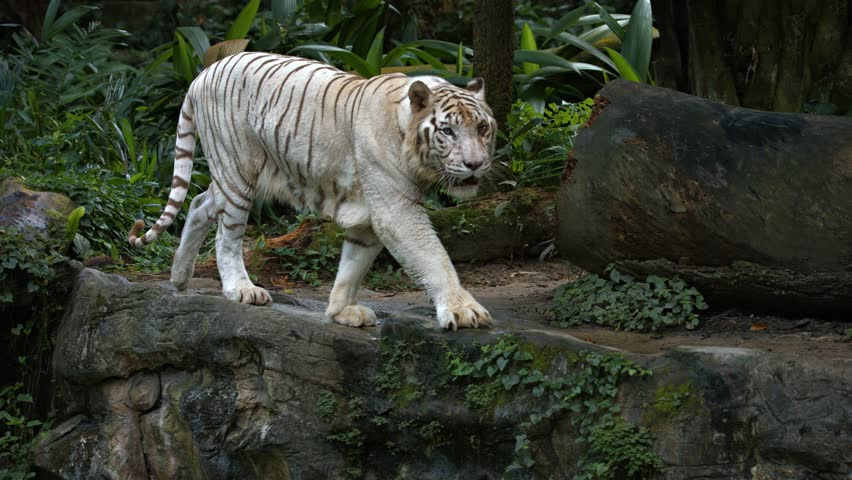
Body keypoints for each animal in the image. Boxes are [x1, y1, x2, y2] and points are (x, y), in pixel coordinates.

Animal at [129, 51, 496, 330]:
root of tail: (201, 74)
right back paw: (241, 289)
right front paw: (463, 310)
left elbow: (353, 265)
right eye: (447, 131)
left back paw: (179, 276)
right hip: (237, 168)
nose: (475, 164)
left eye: (482, 128)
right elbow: (434, 257)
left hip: (237, 175)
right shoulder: (396, 208)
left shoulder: (369, 214)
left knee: (199, 202)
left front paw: (340, 311)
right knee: (227, 236)